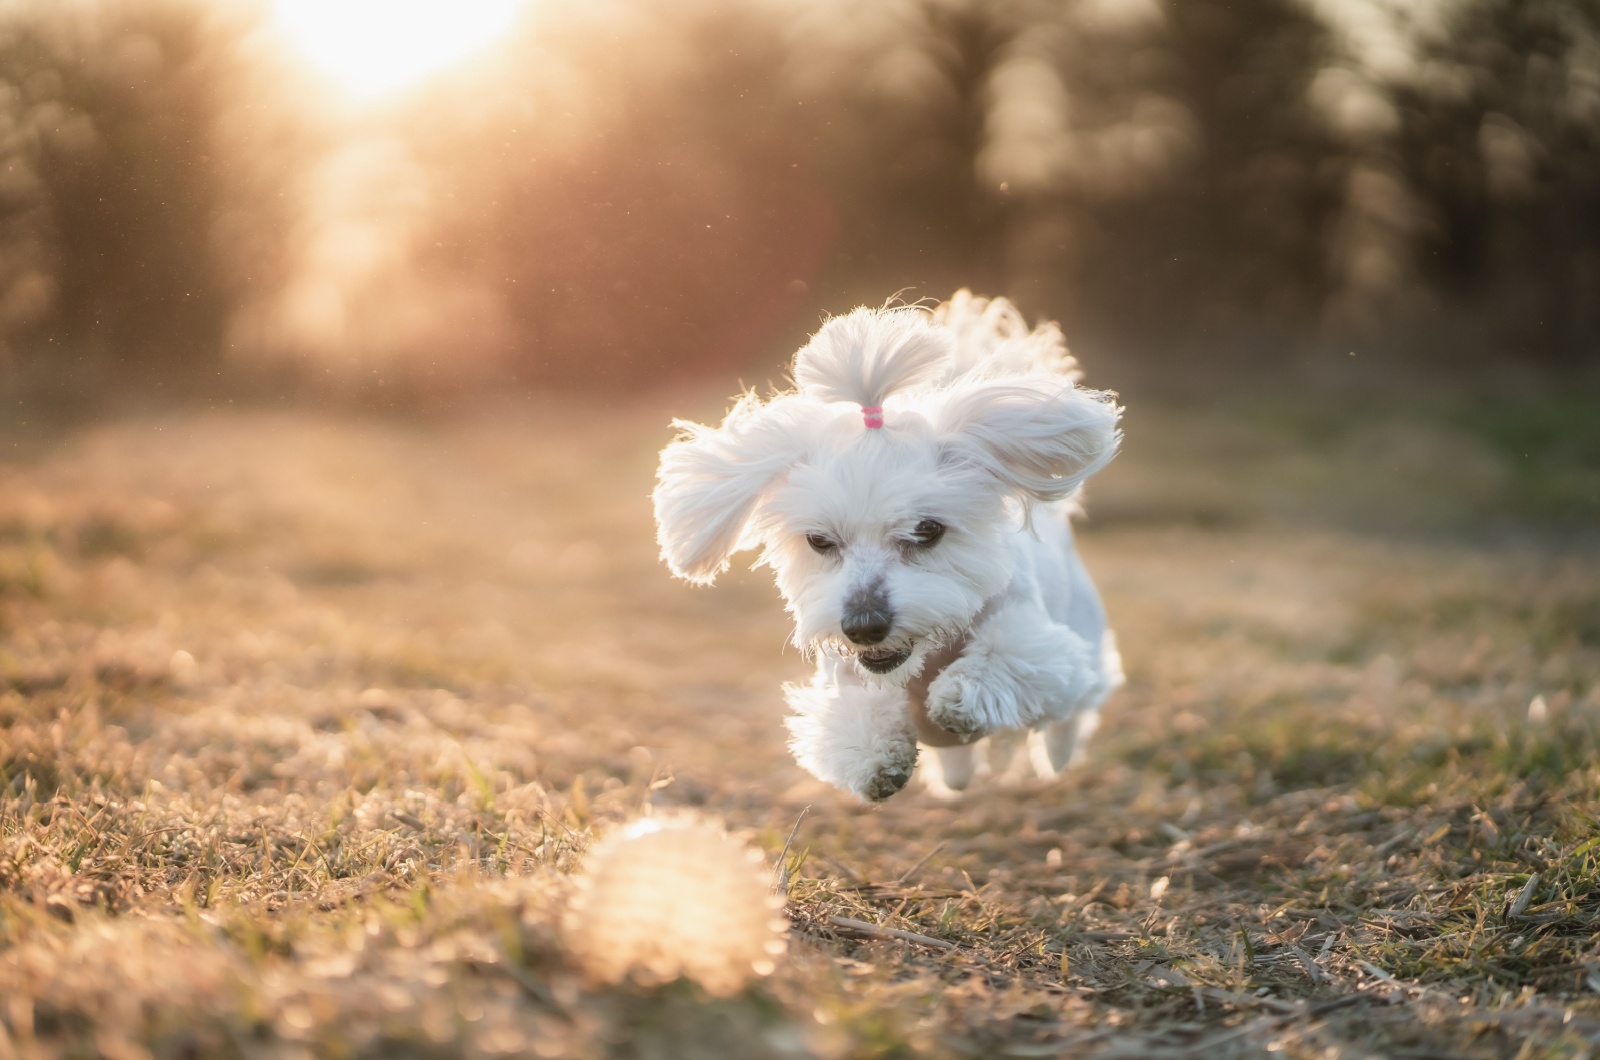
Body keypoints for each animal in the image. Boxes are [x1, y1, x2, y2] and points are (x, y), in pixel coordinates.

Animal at [649, 294, 1126, 800]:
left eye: (927, 530)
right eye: (819, 540)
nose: (864, 626)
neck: (922, 660)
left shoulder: (1038, 643)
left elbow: (1014, 657)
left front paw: (962, 695)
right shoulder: (846, 676)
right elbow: (854, 712)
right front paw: (876, 754)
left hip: (1084, 637)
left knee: (1073, 710)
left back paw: (1056, 755)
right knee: (960, 767)